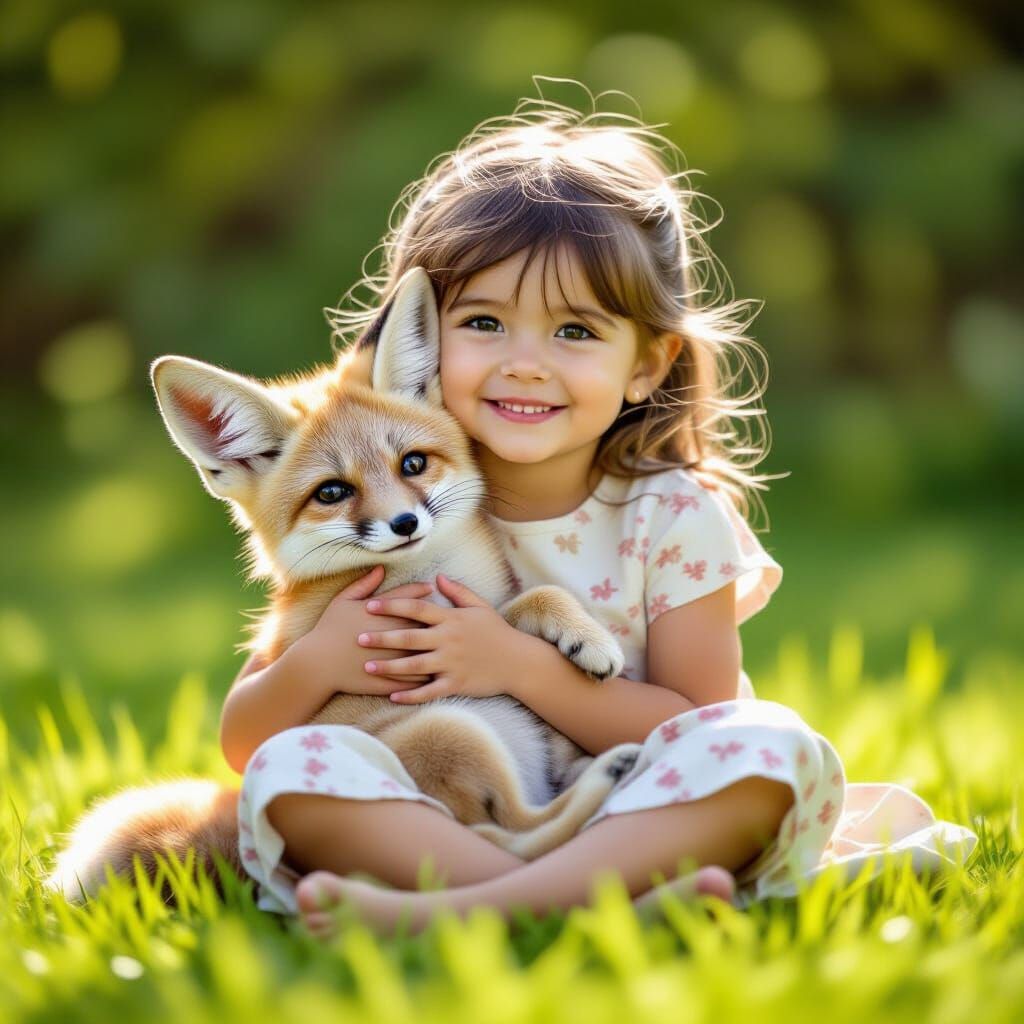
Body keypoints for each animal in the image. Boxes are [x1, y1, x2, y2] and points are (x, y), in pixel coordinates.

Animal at [47, 267, 643, 904]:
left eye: (413, 464)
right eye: (332, 492)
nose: (404, 524)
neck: (432, 578)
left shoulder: (468, 612)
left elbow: (532, 597)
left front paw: (584, 636)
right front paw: (589, 641)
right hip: (452, 730)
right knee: (508, 843)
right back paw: (605, 777)